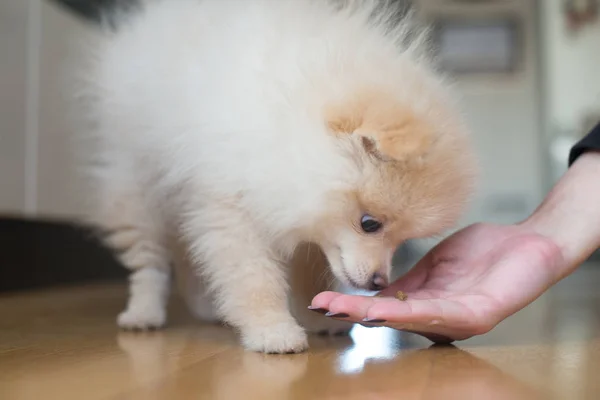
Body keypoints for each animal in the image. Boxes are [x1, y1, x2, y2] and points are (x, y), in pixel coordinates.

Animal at [75, 0, 478, 354]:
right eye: (370, 224)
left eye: (402, 240)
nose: (380, 282)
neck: (285, 125)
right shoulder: (232, 207)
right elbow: (254, 278)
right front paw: (272, 330)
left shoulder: (300, 219)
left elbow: (306, 274)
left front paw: (316, 316)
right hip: (136, 186)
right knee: (150, 262)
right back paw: (143, 313)